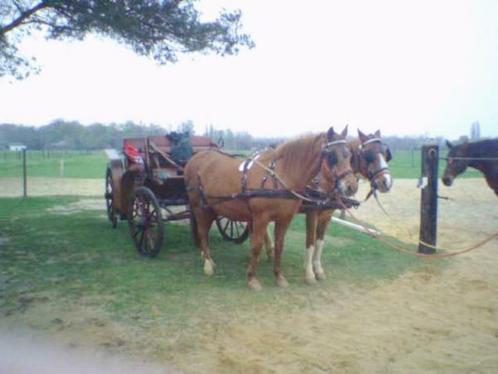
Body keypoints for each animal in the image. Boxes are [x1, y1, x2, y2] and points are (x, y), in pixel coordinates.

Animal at [184, 127, 358, 290]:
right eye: (332, 155)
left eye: (349, 155)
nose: (351, 187)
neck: (281, 175)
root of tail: (195, 158)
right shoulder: (261, 218)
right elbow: (256, 246)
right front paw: (252, 278)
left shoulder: (285, 219)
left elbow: (280, 246)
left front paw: (279, 276)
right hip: (199, 207)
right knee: (202, 232)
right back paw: (208, 264)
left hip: (211, 207)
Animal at [300, 129, 392, 284]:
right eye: (368, 154)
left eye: (385, 153)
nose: (387, 182)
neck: (324, 181)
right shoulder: (312, 214)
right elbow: (310, 242)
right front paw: (309, 274)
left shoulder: (326, 216)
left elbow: (320, 242)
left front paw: (318, 270)